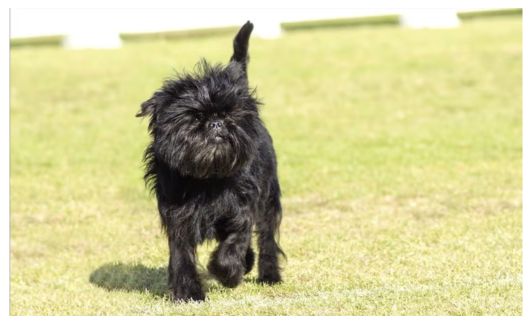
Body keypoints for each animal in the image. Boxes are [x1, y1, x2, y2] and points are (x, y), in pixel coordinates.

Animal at [138, 20, 282, 302]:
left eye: (229, 114)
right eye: (194, 117)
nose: (216, 123)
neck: (207, 177)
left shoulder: (241, 208)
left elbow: (235, 242)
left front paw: (226, 272)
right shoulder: (178, 217)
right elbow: (181, 255)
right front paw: (188, 293)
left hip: (268, 196)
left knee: (267, 235)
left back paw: (268, 274)